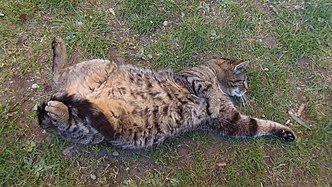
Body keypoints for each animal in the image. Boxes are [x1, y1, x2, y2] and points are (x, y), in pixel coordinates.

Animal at [37, 36, 296, 148]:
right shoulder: (193, 79)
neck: (215, 76)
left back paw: (56, 111)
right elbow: (206, 90)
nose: (246, 89)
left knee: (63, 120)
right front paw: (211, 97)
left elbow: (259, 125)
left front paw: (285, 132)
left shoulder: (230, 121)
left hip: (90, 130)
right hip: (98, 67)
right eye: (243, 81)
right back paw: (59, 48)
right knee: (57, 74)